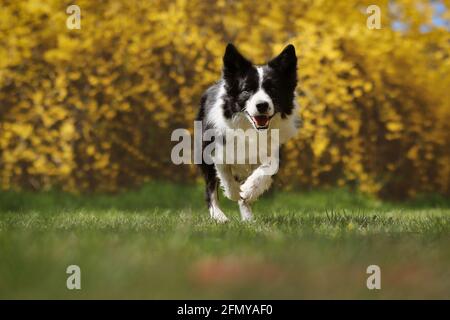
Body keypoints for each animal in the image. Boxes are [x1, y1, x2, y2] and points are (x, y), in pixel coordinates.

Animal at [194, 43, 298, 222]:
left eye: (273, 89)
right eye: (247, 90)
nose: (262, 105)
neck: (251, 130)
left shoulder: (273, 150)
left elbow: (267, 169)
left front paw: (249, 190)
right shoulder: (217, 149)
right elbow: (225, 174)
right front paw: (234, 193)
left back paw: (248, 217)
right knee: (210, 188)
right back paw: (219, 216)